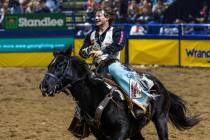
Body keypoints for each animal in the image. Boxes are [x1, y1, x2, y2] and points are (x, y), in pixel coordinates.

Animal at [39, 50, 200, 140]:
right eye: (49, 65)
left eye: (60, 65)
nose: (44, 87)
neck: (95, 96)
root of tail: (160, 85)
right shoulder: (100, 135)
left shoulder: (121, 131)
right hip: (136, 130)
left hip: (160, 119)